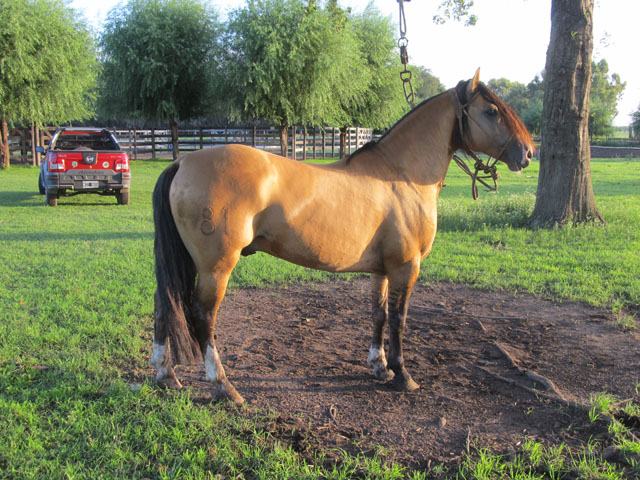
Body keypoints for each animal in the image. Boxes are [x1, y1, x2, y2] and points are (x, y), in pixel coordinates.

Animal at [151, 69, 536, 404]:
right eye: (491, 111)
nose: (529, 152)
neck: (401, 174)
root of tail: (182, 162)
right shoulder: (405, 267)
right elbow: (399, 320)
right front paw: (403, 375)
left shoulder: (382, 270)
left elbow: (379, 315)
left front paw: (380, 367)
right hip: (216, 267)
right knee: (202, 316)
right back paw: (223, 386)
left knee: (163, 305)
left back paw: (164, 375)